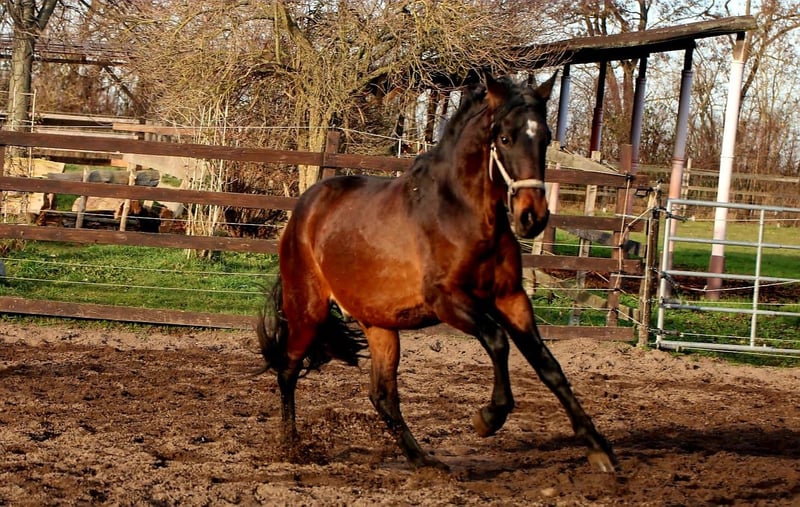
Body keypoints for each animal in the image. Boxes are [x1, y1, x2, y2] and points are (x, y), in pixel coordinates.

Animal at [257, 72, 616, 472]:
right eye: (505, 138)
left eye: (545, 138)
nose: (532, 217)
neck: (463, 216)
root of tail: (304, 208)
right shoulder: (448, 300)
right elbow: (498, 341)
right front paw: (488, 418)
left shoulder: (511, 298)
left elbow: (548, 365)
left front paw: (598, 448)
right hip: (308, 311)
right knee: (288, 369)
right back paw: (290, 446)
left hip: (379, 324)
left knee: (382, 394)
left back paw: (423, 460)